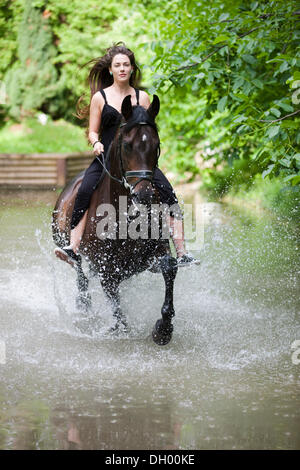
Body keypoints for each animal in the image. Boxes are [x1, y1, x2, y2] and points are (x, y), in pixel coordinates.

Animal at [51, 95, 178, 346]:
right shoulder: (107, 270)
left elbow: (169, 268)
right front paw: (118, 330)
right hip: (70, 249)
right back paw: (84, 307)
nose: (144, 195)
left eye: (156, 145)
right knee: (80, 275)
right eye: (128, 145)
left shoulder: (151, 258)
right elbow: (118, 313)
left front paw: (163, 329)